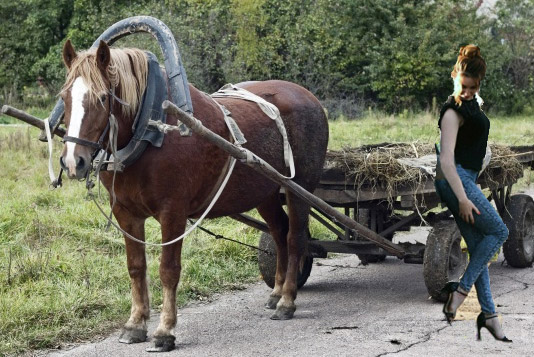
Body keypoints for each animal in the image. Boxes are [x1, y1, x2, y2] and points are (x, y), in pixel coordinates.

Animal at [57, 39, 326, 350]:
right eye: (64, 97)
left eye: (102, 98)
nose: (73, 161)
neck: (152, 131)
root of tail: (309, 97)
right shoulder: (126, 213)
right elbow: (136, 267)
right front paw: (135, 323)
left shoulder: (172, 212)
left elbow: (168, 270)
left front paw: (164, 330)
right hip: (266, 191)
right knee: (279, 232)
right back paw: (277, 292)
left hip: (301, 188)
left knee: (295, 238)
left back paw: (287, 301)